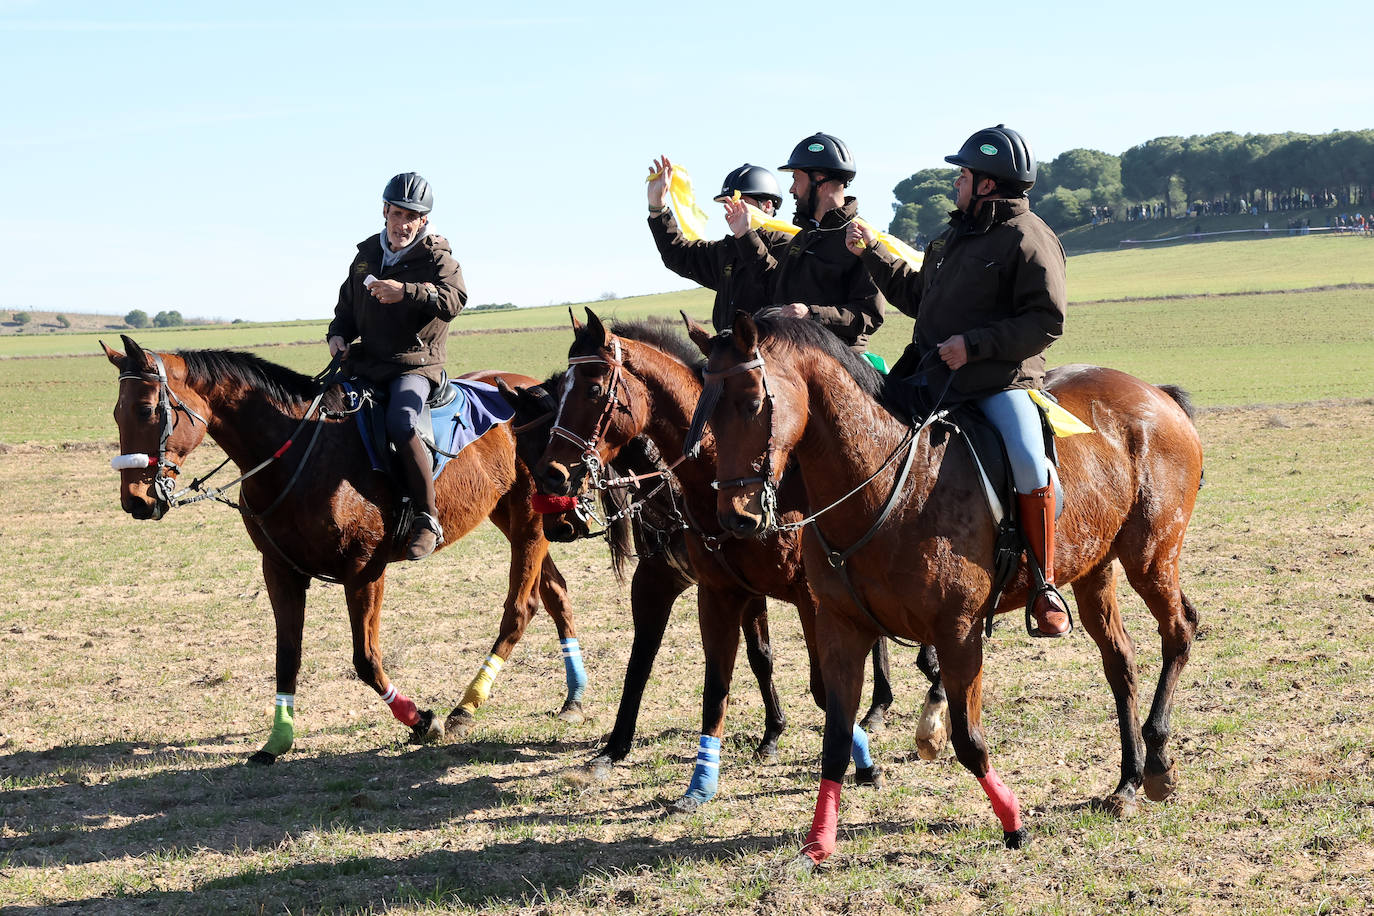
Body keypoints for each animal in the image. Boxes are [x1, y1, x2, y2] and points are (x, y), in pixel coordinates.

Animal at [103, 336, 585, 769]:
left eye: (147, 410)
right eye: (116, 413)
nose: (135, 501)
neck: (299, 451)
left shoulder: (364, 571)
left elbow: (365, 660)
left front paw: (419, 719)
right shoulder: (280, 570)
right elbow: (287, 657)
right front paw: (277, 741)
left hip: (530, 522)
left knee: (520, 608)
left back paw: (466, 707)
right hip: (512, 518)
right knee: (555, 594)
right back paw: (573, 699)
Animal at [530, 313, 950, 807]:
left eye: (593, 390)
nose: (552, 476)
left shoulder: (808, 598)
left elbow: (822, 687)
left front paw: (862, 764)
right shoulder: (718, 590)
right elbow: (712, 678)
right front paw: (684, 774)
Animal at [697, 315, 1203, 867]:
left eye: (751, 401)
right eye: (706, 407)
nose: (733, 518)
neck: (892, 486)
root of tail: (1157, 395)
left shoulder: (959, 633)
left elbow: (969, 739)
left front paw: (1013, 823)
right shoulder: (841, 629)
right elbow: (836, 737)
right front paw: (817, 844)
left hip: (1151, 559)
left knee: (1179, 632)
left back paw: (1157, 761)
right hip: (1095, 570)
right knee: (1121, 662)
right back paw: (1129, 781)